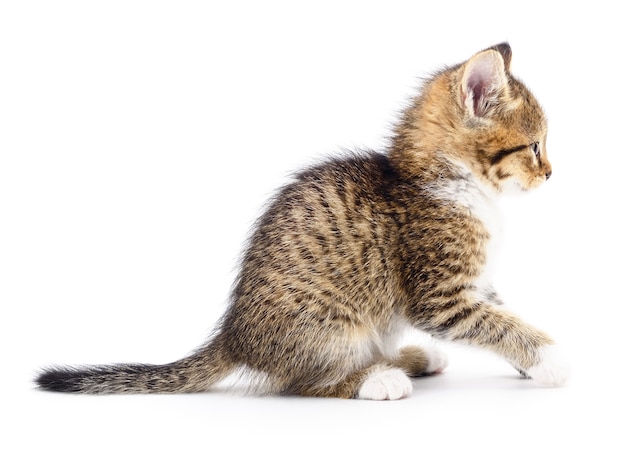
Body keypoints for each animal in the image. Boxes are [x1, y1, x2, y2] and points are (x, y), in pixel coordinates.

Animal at [36, 43, 568, 400]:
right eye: (535, 146)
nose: (550, 173)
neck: (449, 181)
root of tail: (235, 336)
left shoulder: (475, 283)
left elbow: (503, 313)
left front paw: (532, 363)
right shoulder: (440, 294)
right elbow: (495, 324)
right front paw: (550, 358)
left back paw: (411, 358)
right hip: (332, 326)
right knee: (303, 383)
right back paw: (380, 379)